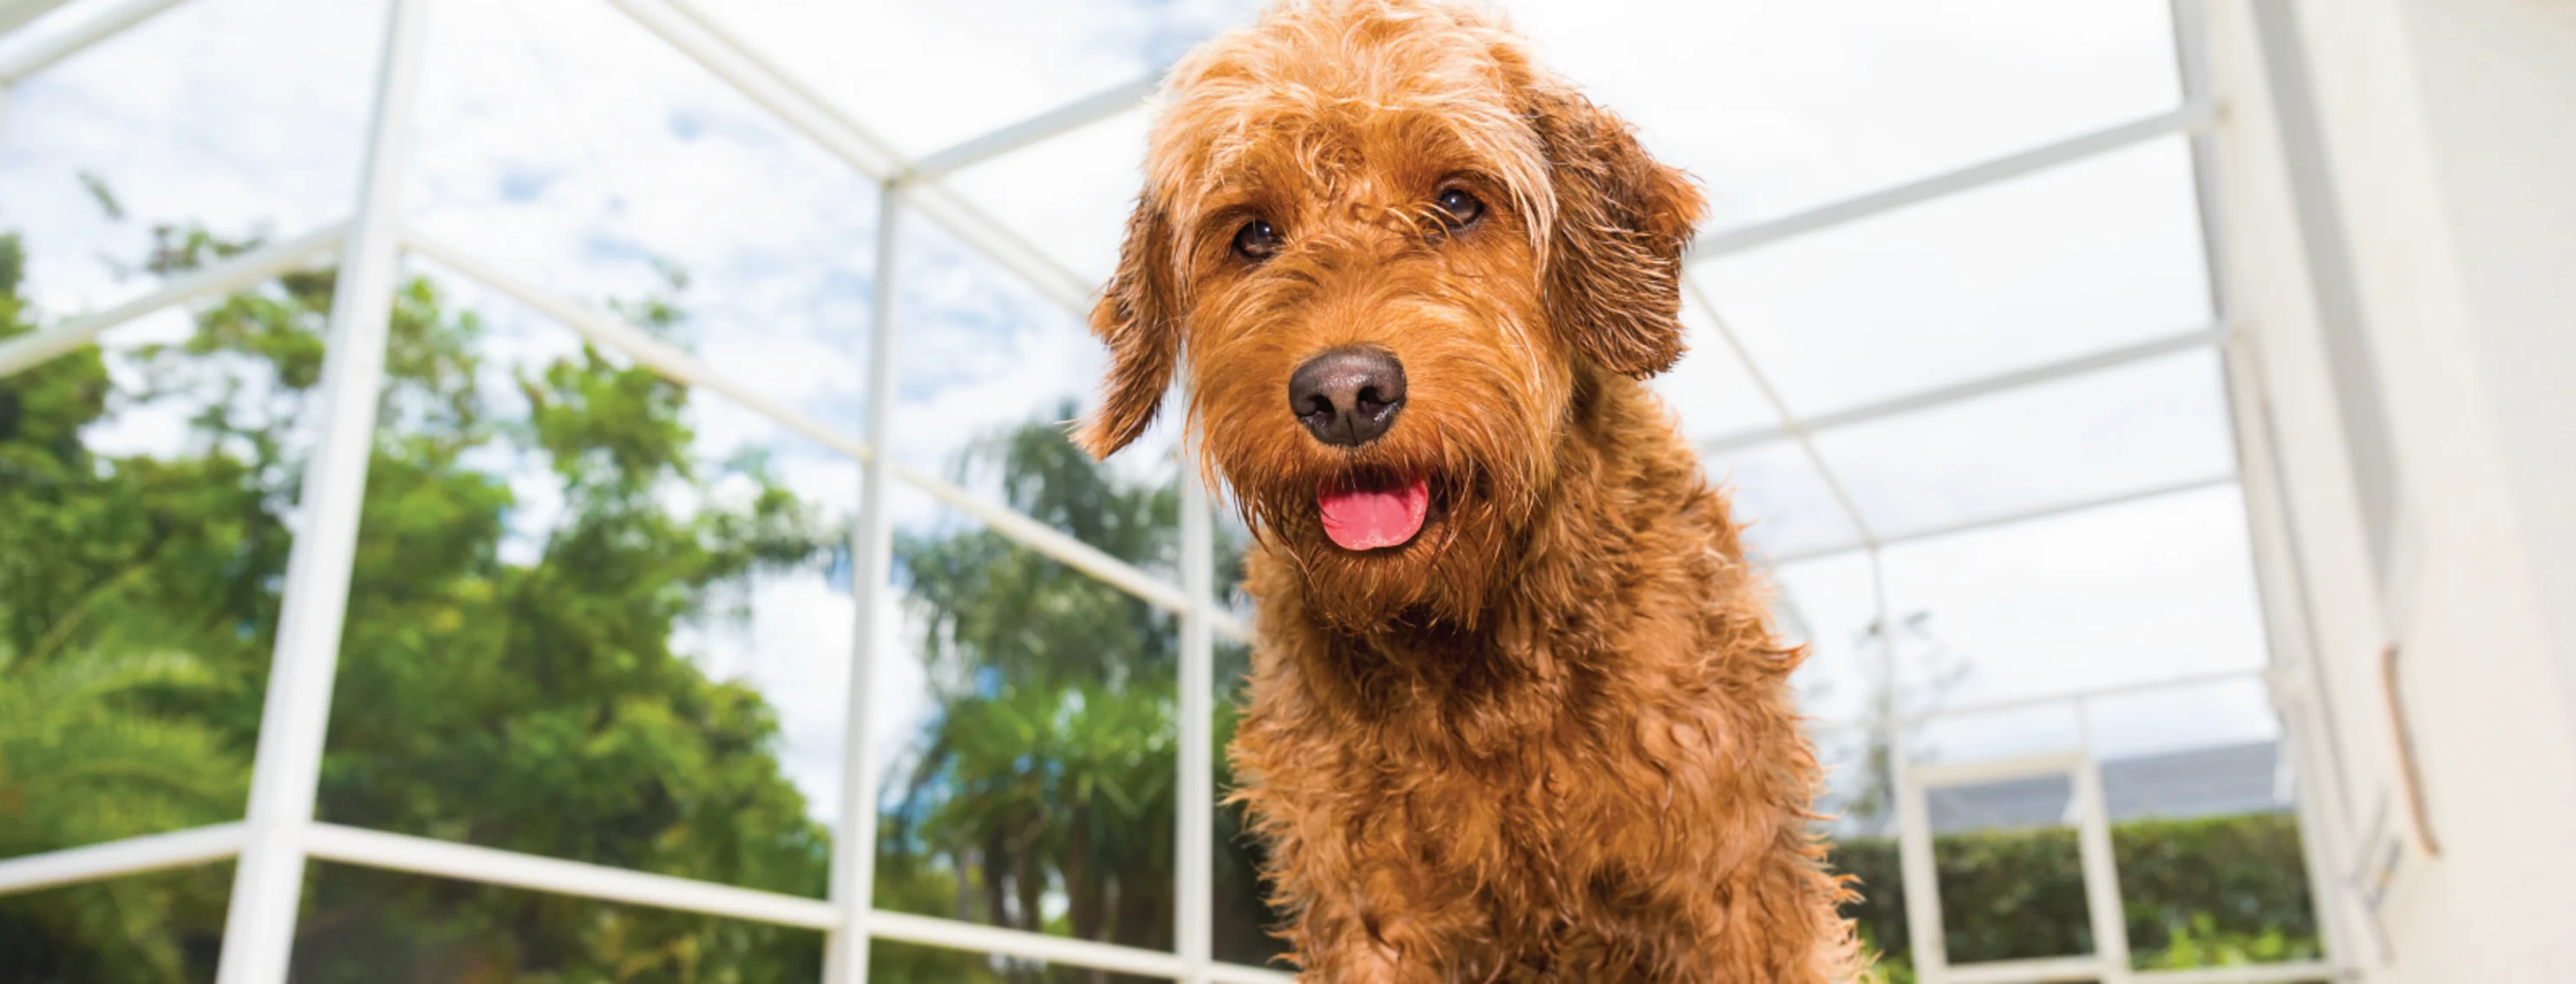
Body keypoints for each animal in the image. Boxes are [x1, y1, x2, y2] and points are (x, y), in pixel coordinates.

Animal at [1076, 3, 1865, 979]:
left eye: (1456, 201)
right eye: (1253, 233)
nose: (1346, 394)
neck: (1472, 653)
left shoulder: (1737, 878)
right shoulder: (1368, 901)